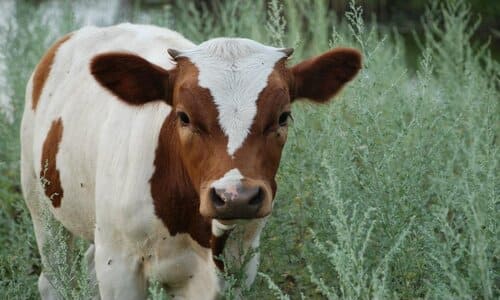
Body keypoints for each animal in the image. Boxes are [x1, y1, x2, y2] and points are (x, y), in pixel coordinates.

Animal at [21, 24, 362, 300]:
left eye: (283, 116)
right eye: (184, 116)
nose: (235, 197)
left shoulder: (239, 266)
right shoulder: (118, 265)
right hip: (42, 207)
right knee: (53, 279)